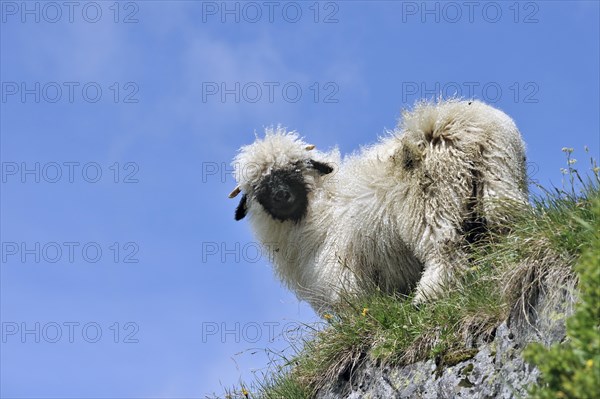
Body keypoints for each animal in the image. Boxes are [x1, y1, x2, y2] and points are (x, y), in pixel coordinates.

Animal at [227, 99, 528, 312]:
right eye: (259, 187)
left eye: (294, 169)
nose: (282, 196)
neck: (318, 207)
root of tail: (461, 124)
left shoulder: (344, 277)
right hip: (497, 174)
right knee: (504, 219)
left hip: (432, 203)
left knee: (446, 250)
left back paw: (427, 296)